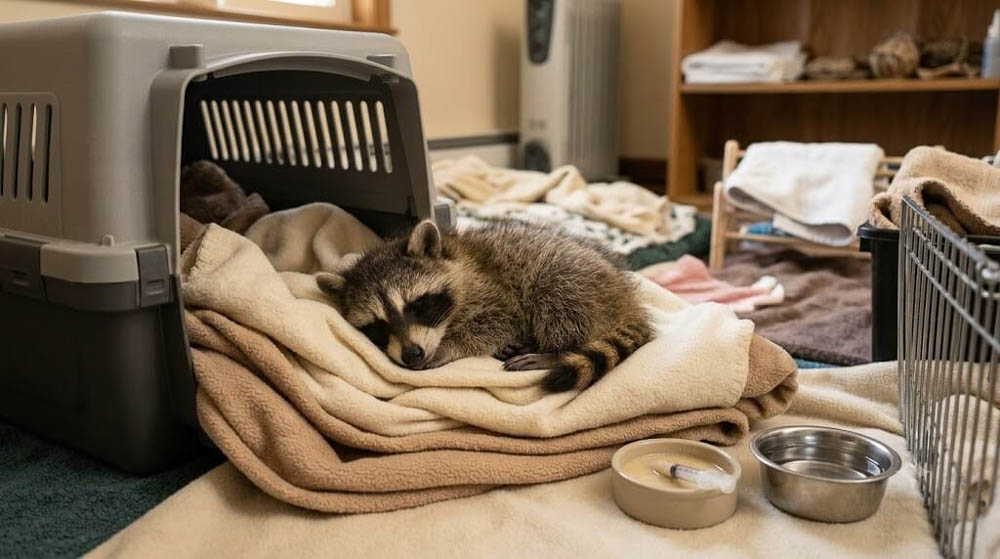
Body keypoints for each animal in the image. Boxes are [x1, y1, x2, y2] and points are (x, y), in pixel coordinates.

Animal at [316, 219, 653, 392]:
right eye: (378, 326)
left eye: (418, 305)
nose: (412, 354)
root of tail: (627, 297)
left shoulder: (493, 290)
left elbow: (499, 320)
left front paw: (449, 346)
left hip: (578, 279)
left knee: (557, 291)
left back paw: (556, 352)